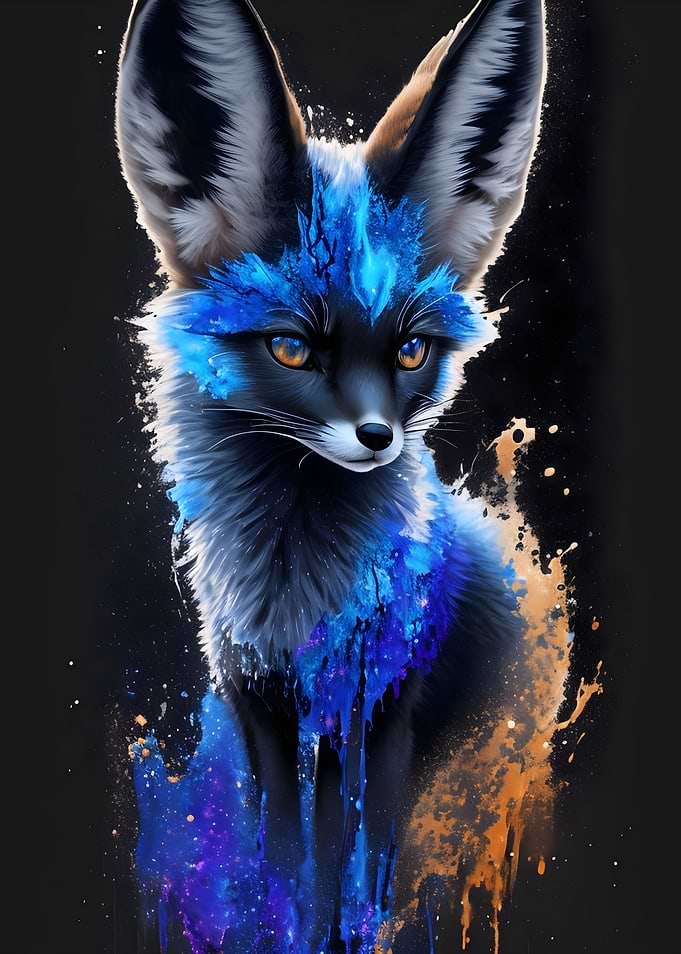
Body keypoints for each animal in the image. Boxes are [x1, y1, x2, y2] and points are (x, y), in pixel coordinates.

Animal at [116, 1, 547, 951]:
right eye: (291, 348)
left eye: (410, 351)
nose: (376, 438)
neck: (297, 593)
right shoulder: (261, 702)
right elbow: (283, 852)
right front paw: (277, 926)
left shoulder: (380, 704)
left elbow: (356, 866)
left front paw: (342, 932)